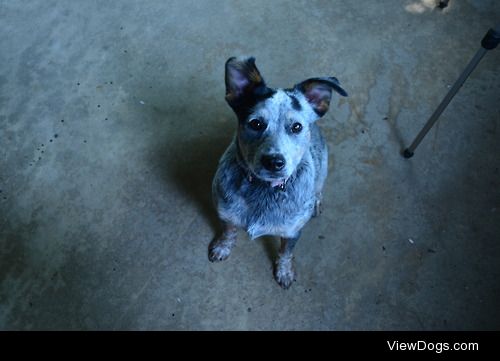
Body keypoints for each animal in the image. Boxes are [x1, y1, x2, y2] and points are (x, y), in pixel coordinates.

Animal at [208, 55, 348, 286]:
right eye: (255, 123)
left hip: (323, 169)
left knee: (318, 188)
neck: (263, 189)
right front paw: (222, 247)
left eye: (297, 127)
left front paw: (284, 271)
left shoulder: (292, 232)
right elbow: (228, 232)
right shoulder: (226, 214)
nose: (274, 162)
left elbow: (285, 253)